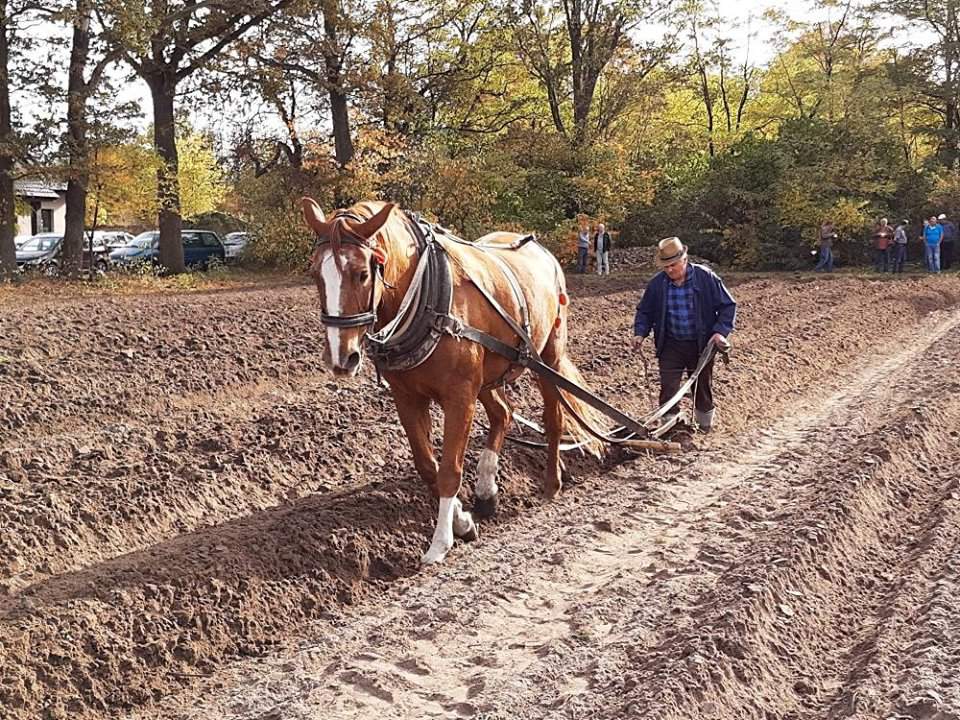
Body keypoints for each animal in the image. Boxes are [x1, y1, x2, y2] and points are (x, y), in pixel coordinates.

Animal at [304, 197, 604, 564]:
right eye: (316, 274)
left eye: (362, 273)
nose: (340, 358)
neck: (428, 299)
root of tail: (541, 251)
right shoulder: (407, 397)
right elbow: (427, 465)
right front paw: (463, 520)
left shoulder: (459, 396)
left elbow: (450, 470)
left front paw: (441, 542)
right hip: (488, 375)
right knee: (503, 414)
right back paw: (487, 491)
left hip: (548, 356)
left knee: (553, 419)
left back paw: (551, 485)